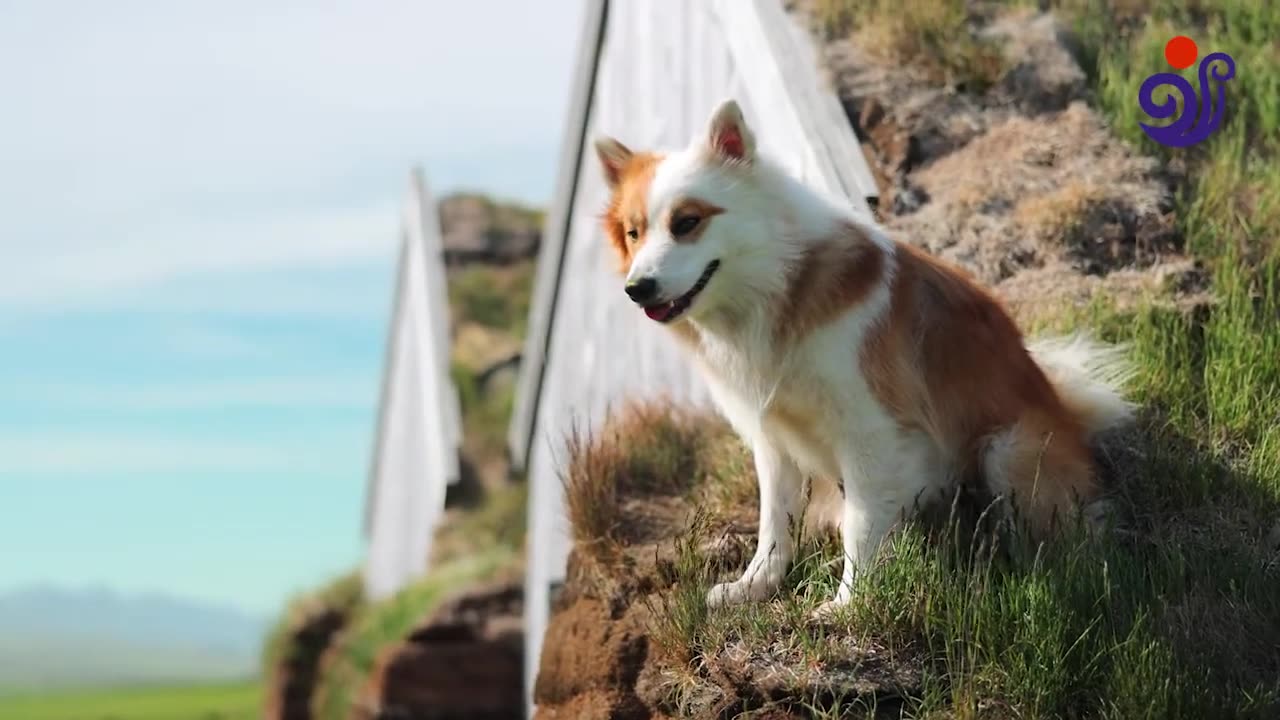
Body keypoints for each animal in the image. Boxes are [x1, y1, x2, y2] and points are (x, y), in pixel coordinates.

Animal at [593, 96, 1136, 609]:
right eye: (633, 233)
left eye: (687, 222)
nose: (636, 289)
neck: (781, 289)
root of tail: (1068, 409)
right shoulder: (772, 437)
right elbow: (775, 521)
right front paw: (756, 586)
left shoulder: (869, 430)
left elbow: (862, 523)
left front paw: (848, 605)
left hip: (1007, 452)